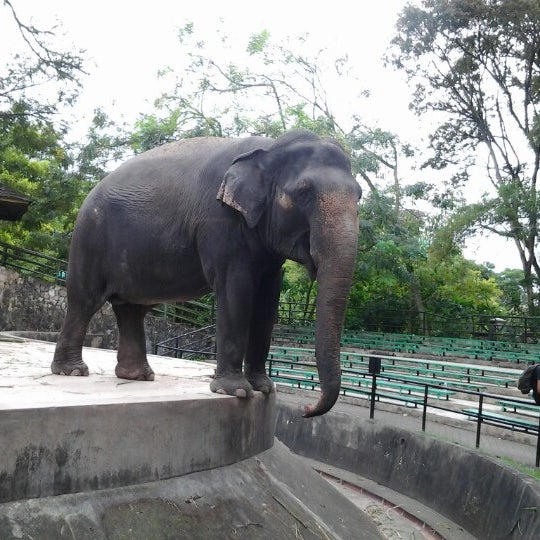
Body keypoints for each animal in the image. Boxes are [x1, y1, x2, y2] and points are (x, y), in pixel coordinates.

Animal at [51, 130, 362, 418]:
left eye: (359, 195)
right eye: (303, 193)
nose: (306, 410)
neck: (269, 148)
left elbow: (268, 300)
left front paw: (264, 388)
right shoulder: (219, 221)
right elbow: (235, 288)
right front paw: (236, 391)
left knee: (131, 309)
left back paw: (137, 376)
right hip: (89, 237)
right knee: (84, 300)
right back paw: (72, 372)